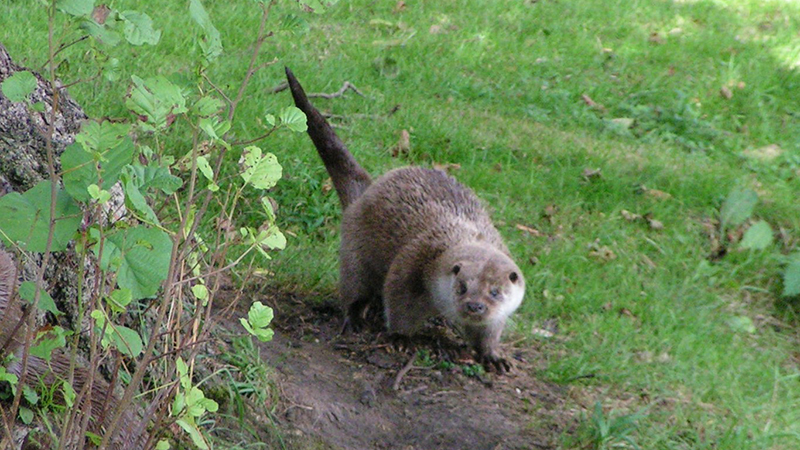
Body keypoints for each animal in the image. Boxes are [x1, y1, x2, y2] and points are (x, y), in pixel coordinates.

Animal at [286, 66, 524, 370]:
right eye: (462, 287)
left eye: (495, 291)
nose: (475, 305)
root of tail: (366, 193)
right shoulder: (411, 266)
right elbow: (399, 304)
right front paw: (401, 338)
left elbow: (489, 331)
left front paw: (493, 355)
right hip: (355, 248)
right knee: (354, 286)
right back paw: (354, 318)